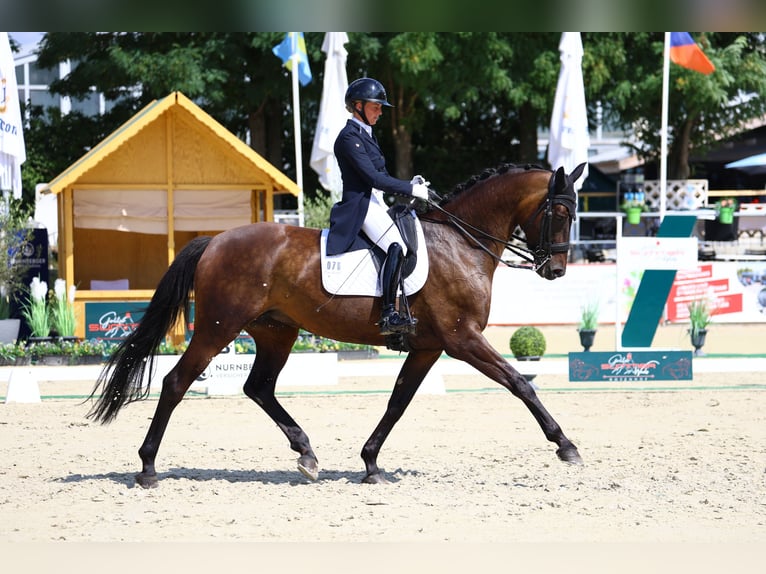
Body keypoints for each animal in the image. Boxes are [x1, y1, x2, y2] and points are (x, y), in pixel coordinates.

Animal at [88, 163, 588, 490]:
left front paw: (371, 463)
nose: (557, 270)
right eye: (561, 213)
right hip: (218, 327)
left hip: (276, 331)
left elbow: (398, 401)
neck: (461, 242)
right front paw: (566, 445)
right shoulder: (462, 338)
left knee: (259, 387)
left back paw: (307, 455)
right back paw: (148, 469)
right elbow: (520, 383)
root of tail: (213, 241)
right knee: (177, 382)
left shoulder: (428, 346)